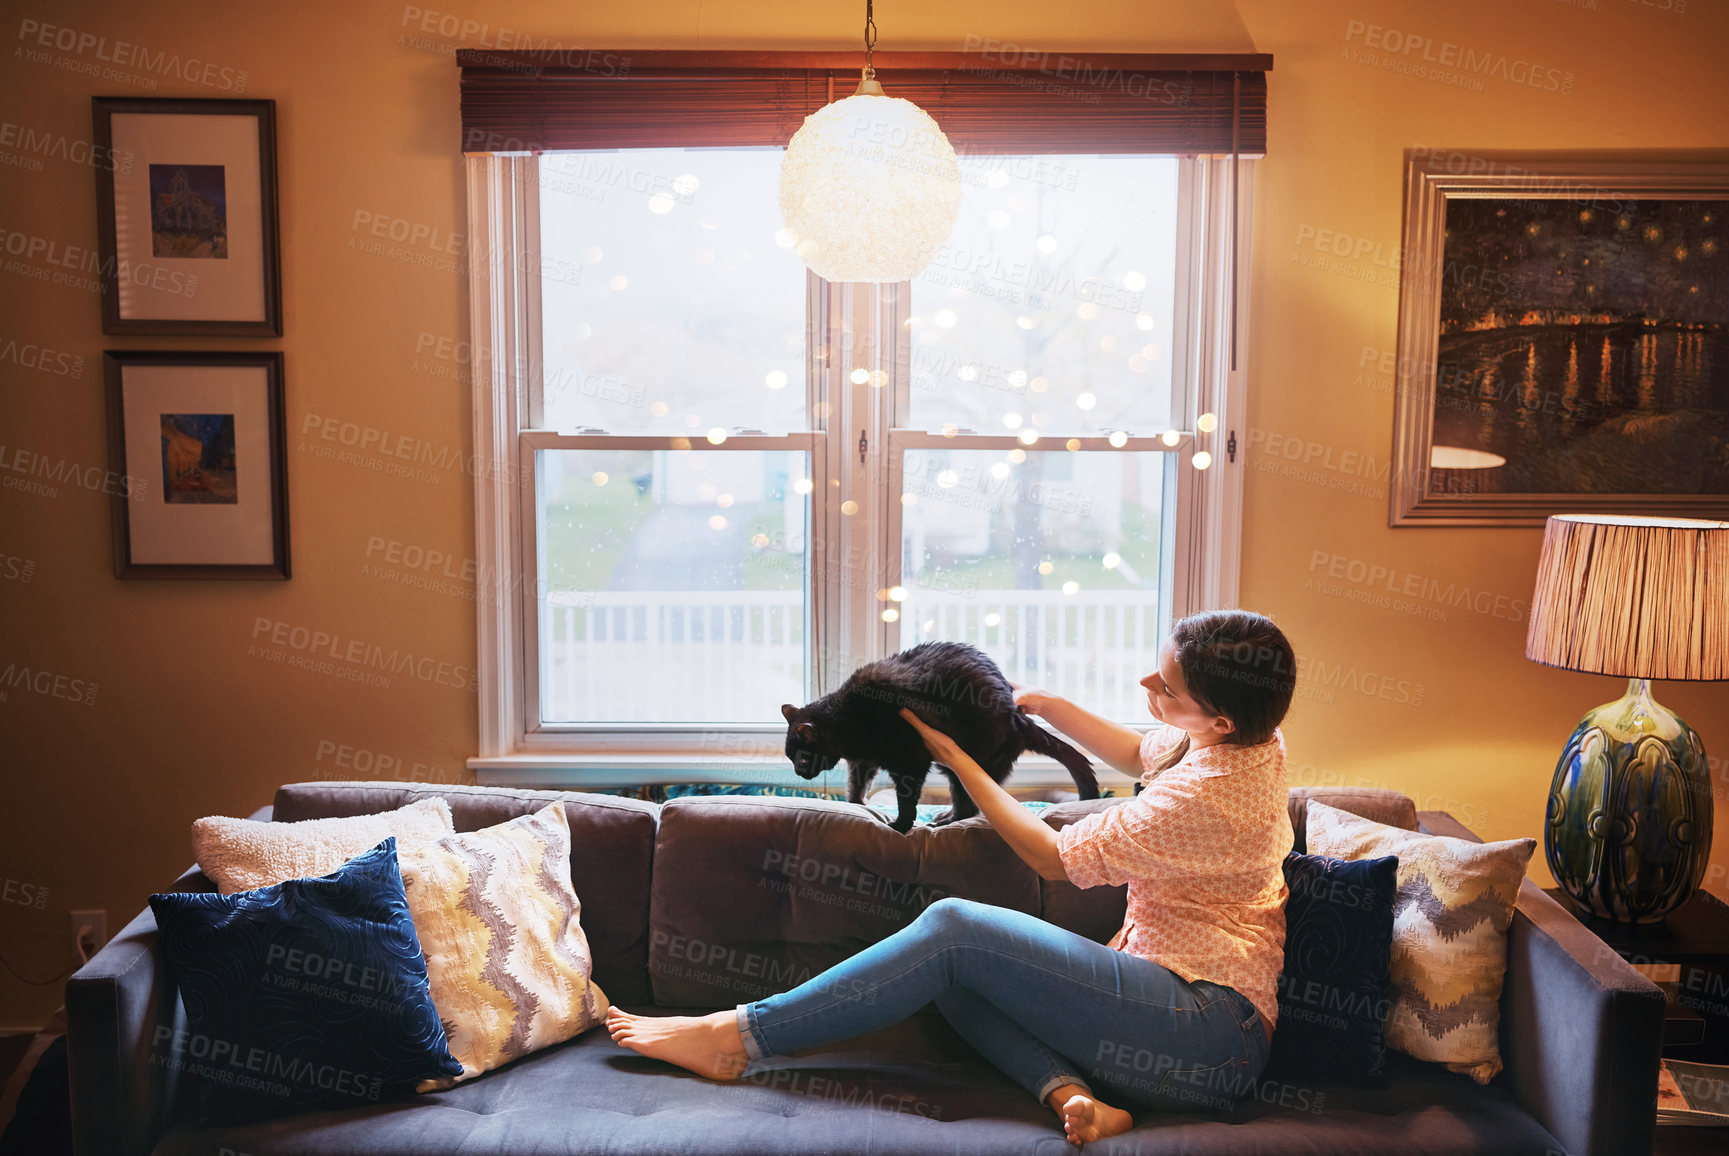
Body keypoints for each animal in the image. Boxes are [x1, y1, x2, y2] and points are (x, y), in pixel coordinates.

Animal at [781, 639, 1099, 829]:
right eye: (791, 758)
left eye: (803, 759)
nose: (798, 773)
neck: (850, 720)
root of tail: (1017, 716)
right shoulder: (863, 761)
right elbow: (856, 785)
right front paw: (856, 805)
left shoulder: (909, 761)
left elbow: (907, 800)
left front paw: (900, 826)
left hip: (967, 768)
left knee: (969, 807)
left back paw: (942, 821)